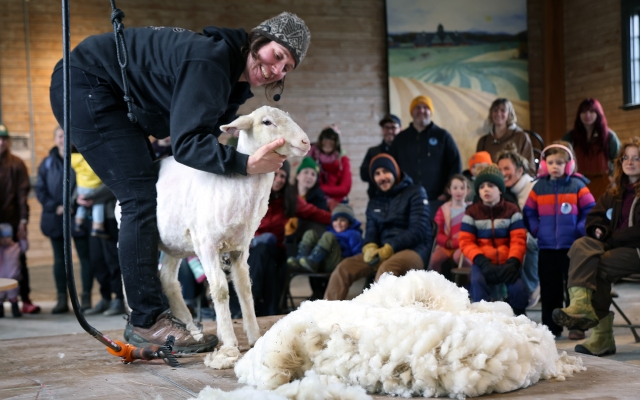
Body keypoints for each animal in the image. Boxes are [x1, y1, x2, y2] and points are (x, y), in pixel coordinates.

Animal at [123, 106, 310, 369]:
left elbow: (244, 288)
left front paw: (254, 336)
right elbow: (220, 290)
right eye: (267, 122)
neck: (235, 186)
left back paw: (191, 331)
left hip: (175, 243)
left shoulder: (240, 247)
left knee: (168, 279)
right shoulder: (207, 245)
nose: (305, 142)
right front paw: (230, 344)